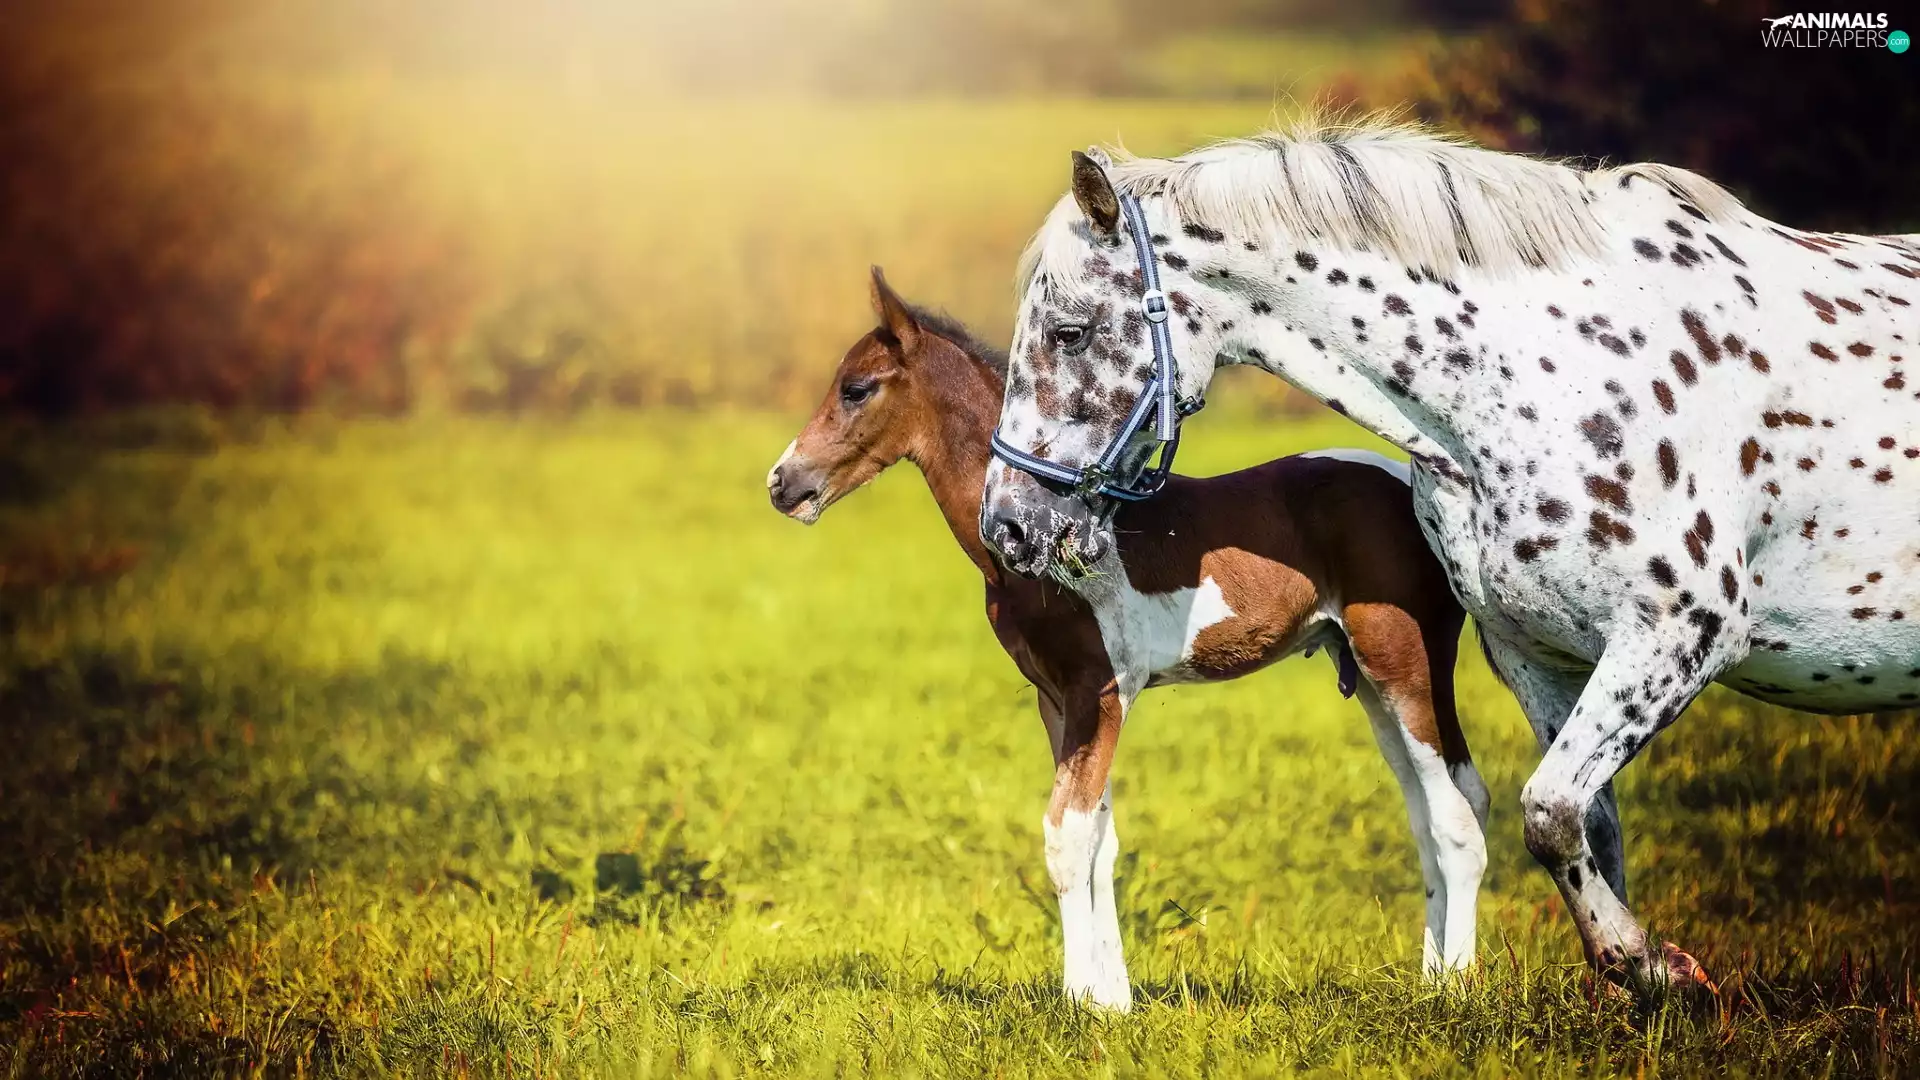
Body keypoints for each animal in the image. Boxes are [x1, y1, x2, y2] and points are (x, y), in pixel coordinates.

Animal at [768, 267, 1488, 1010]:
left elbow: (1067, 838)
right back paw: (1431, 977)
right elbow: (1100, 840)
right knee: (1427, 811)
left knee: (1458, 816)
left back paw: (1455, 988)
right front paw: (1113, 999)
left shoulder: (1102, 692)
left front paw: (1082, 1003)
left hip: (1404, 662)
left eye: (856, 388)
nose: (782, 483)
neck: (1033, 533)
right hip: (1367, 678)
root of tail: (1423, 498)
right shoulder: (1056, 699)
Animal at [978, 112, 1920, 999]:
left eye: (1069, 332)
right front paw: (1631, 991)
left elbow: (1548, 810)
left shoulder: (1680, 634)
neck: (1561, 366)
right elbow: (1588, 825)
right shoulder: (1538, 655)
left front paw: (1653, 966)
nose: (1008, 525)